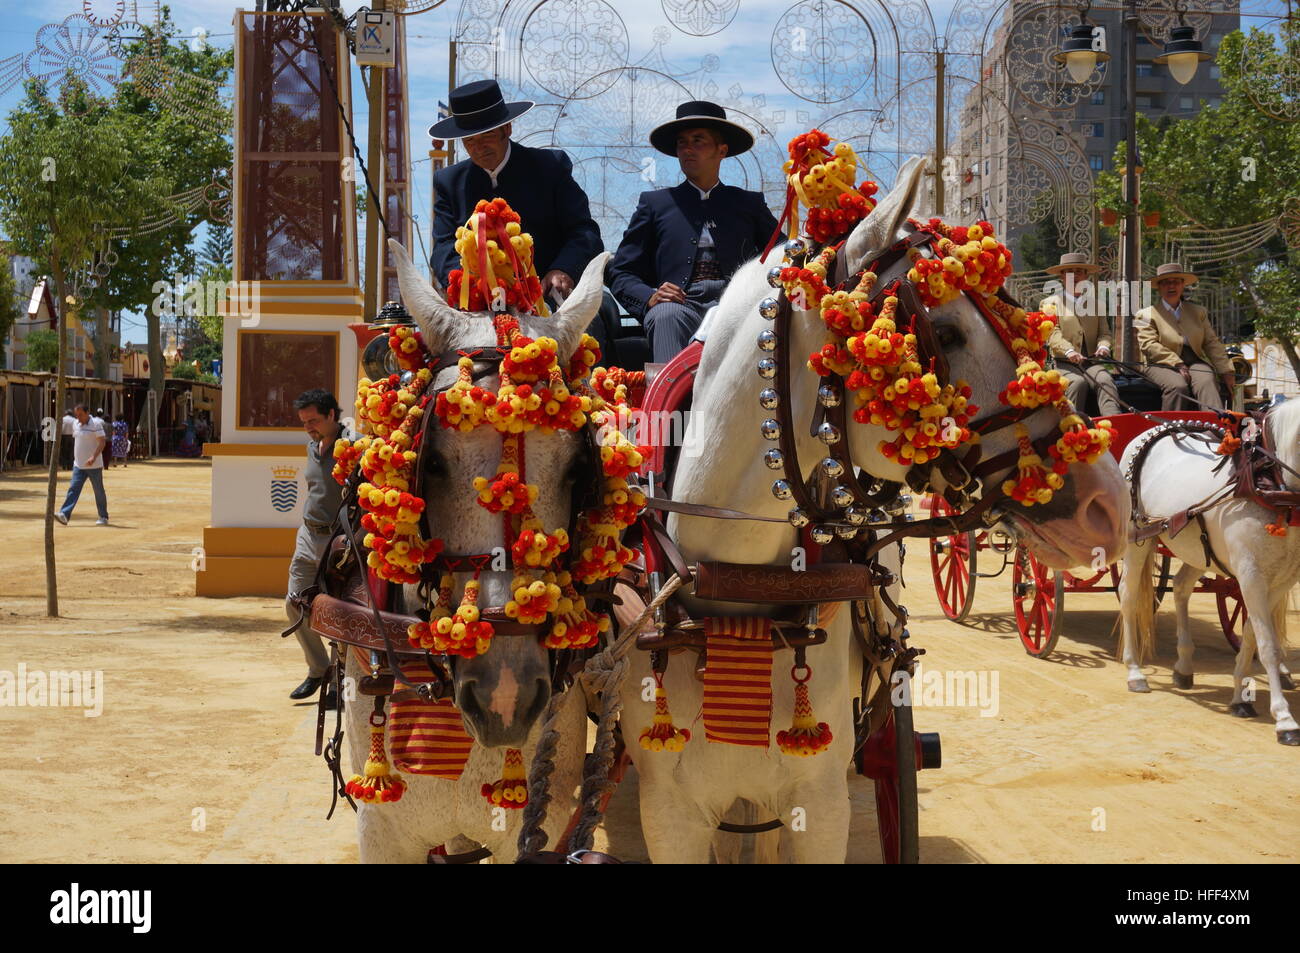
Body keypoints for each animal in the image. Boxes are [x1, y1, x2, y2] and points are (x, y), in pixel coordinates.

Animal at [1118, 400, 1300, 743]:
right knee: (1129, 596)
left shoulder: (1282, 579)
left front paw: (1240, 697)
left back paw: (1184, 665)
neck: (1271, 481)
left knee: (1180, 587)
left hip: (1193, 549)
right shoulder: (1251, 575)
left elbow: (1252, 636)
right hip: (1136, 540)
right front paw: (1284, 719)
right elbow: (1267, 645)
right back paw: (1134, 671)